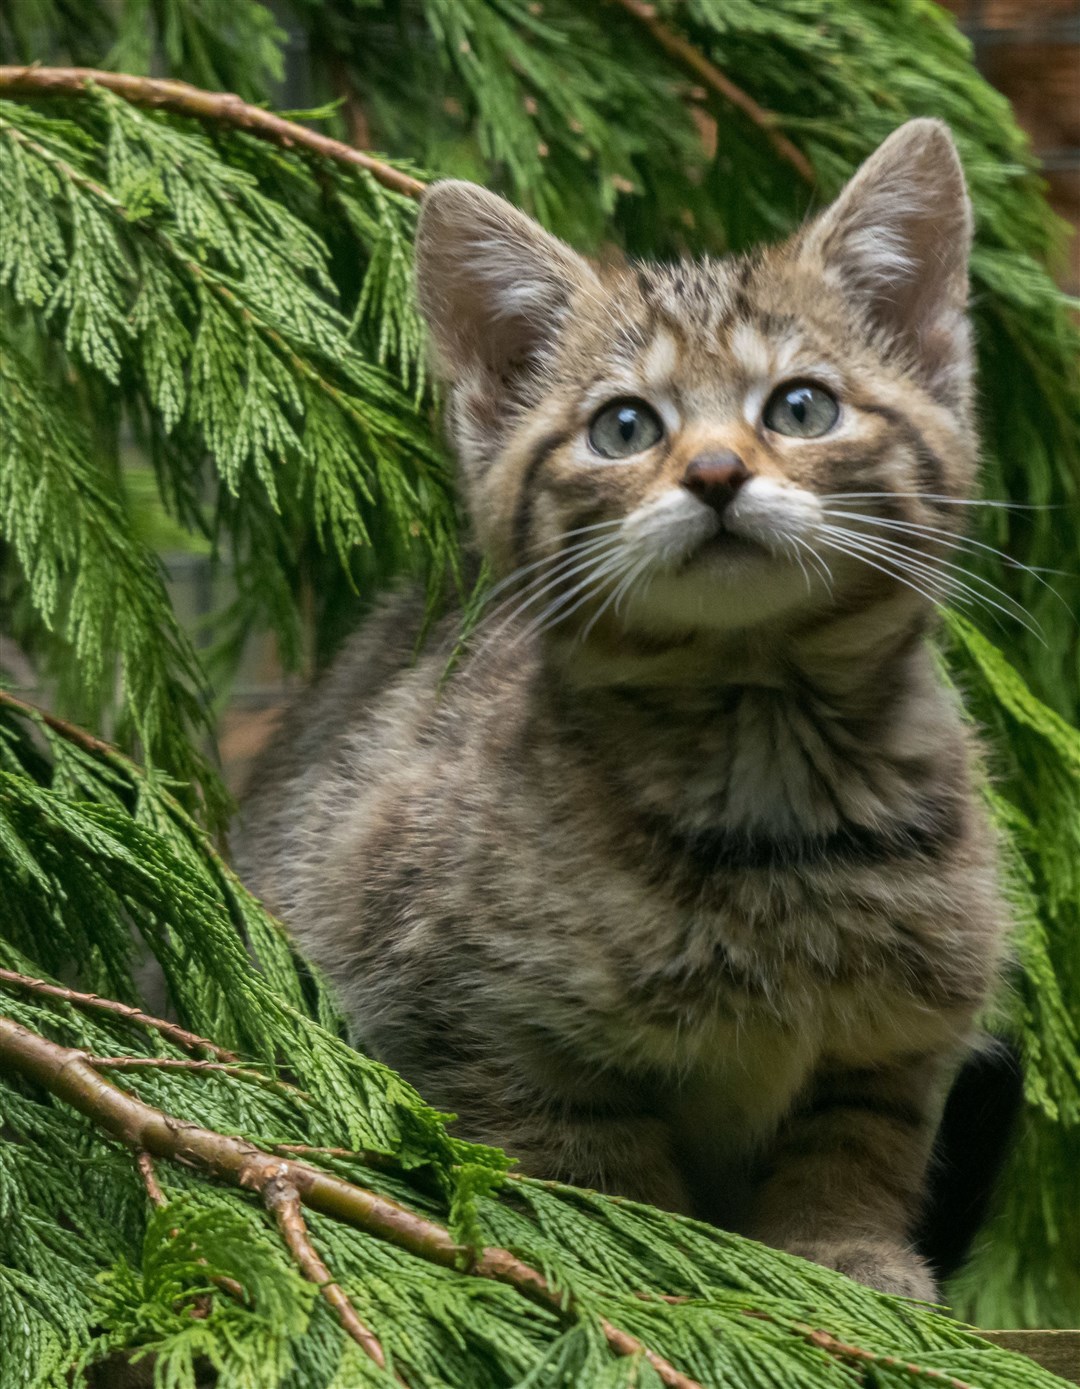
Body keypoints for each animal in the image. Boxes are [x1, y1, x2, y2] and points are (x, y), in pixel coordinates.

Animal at [235, 119, 999, 1300]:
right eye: (625, 427)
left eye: (802, 407)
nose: (718, 472)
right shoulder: (466, 1004)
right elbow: (586, 1162)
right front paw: (642, 1257)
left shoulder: (898, 1034)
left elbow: (856, 1137)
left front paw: (846, 1252)